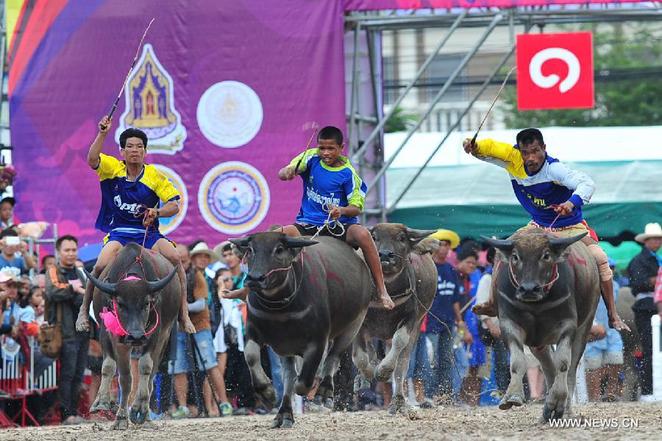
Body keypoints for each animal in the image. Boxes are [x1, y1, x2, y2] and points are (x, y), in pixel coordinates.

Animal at [84, 242, 180, 428]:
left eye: (146, 303)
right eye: (120, 303)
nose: (136, 336)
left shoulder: (154, 334)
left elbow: (145, 367)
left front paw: (137, 409)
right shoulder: (110, 334)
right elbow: (120, 374)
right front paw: (110, 409)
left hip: (163, 338)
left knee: (150, 378)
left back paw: (146, 417)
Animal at [231, 230, 374, 426]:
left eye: (279, 249)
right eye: (251, 249)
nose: (254, 278)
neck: (280, 308)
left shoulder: (318, 340)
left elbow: (305, 380)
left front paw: (311, 390)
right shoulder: (255, 333)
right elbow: (252, 358)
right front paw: (268, 393)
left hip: (354, 324)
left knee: (333, 356)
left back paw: (324, 392)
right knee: (289, 375)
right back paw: (284, 414)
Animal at [352, 223, 440, 416]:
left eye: (401, 238)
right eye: (374, 237)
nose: (385, 255)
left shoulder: (411, 319)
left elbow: (399, 344)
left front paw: (383, 371)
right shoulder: (360, 324)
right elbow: (360, 358)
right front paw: (368, 373)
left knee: (402, 364)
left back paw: (397, 402)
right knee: (369, 353)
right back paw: (362, 380)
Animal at [486, 229, 604, 422]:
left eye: (546, 255)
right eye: (515, 257)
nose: (528, 289)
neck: (537, 304)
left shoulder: (568, 325)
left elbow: (563, 363)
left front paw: (557, 402)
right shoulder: (509, 323)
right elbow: (517, 362)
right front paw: (513, 396)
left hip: (585, 326)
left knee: (570, 368)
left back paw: (563, 409)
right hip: (538, 342)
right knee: (548, 367)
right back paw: (547, 410)